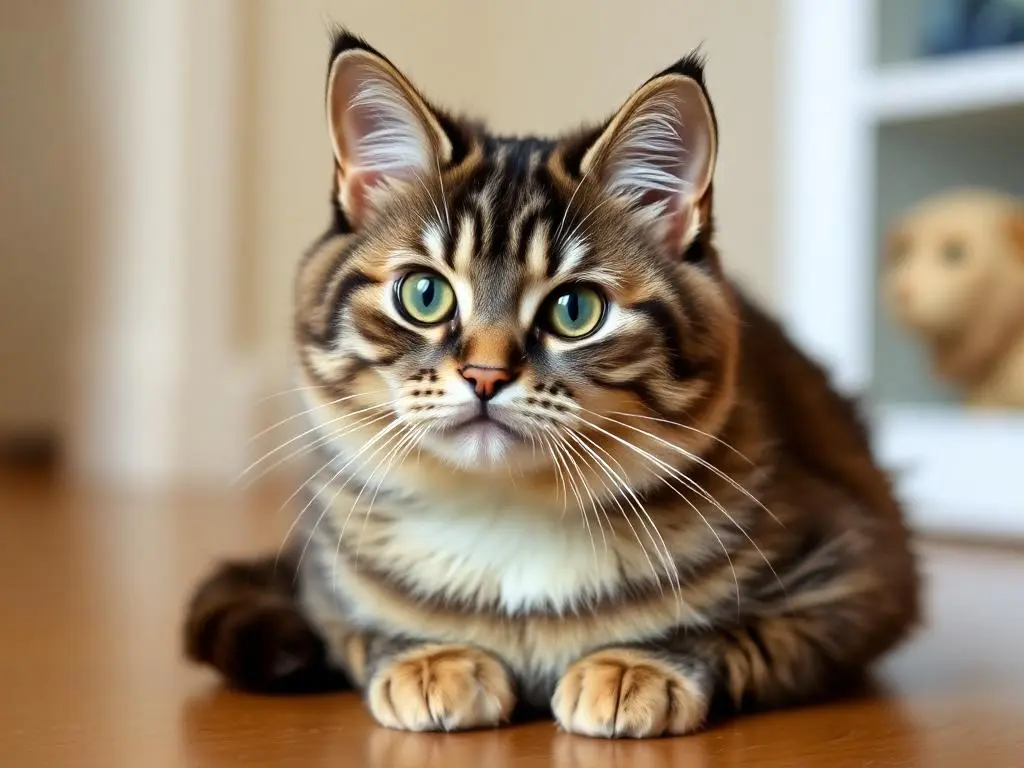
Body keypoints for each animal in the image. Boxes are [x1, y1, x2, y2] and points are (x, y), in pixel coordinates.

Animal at [184, 30, 921, 741]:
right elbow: (358, 630)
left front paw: (634, 667)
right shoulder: (324, 580)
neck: (507, 513)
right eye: (424, 294)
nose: (484, 375)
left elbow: (737, 634)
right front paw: (430, 658)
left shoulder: (858, 575)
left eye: (575, 310)